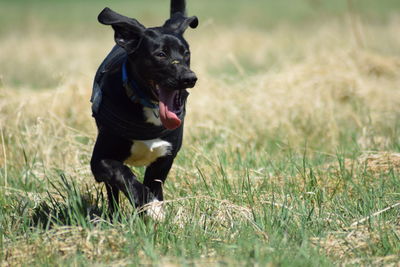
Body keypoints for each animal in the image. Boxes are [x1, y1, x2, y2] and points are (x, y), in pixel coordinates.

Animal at [90, 0, 198, 220]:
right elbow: (123, 175)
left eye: (186, 53)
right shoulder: (99, 161)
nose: (189, 78)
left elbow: (154, 185)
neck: (149, 105)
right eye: (161, 54)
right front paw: (150, 205)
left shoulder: (164, 159)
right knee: (113, 191)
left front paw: (152, 209)